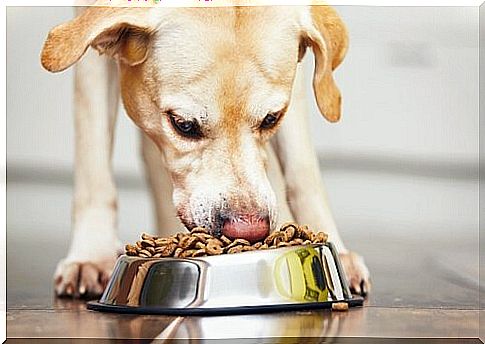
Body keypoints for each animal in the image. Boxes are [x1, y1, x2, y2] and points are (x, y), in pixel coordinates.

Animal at [40, 1, 370, 298]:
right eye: (183, 125)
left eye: (271, 118)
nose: (248, 230)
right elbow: (93, 160)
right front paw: (91, 255)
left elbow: (303, 170)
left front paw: (333, 247)